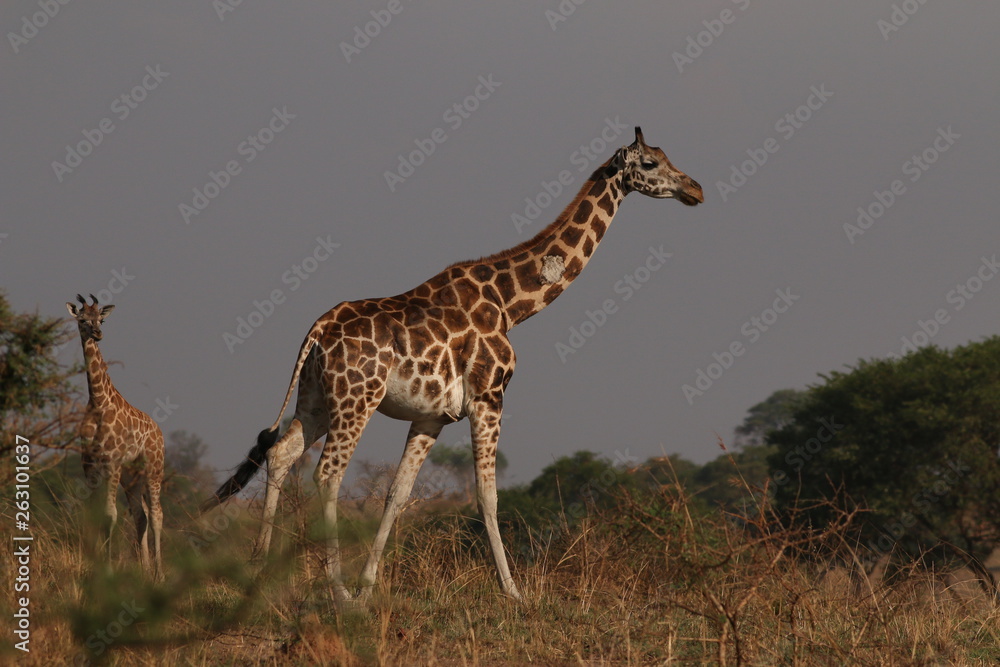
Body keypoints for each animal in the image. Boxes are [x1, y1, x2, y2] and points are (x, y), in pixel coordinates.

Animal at [66, 294, 164, 579]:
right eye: (83, 320)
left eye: (101, 319)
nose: (98, 334)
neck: (98, 402)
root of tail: (159, 432)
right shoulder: (89, 466)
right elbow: (97, 515)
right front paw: (95, 565)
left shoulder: (112, 462)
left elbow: (110, 514)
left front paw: (108, 568)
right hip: (132, 475)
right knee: (141, 515)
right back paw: (144, 570)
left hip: (153, 468)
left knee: (157, 514)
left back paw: (159, 573)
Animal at [202, 127, 703, 601]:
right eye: (651, 162)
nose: (695, 189)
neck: (510, 304)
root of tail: (318, 331)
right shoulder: (489, 397)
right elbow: (487, 496)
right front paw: (513, 592)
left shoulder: (432, 416)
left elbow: (398, 494)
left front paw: (369, 588)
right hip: (356, 399)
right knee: (328, 474)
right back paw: (334, 590)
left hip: (316, 399)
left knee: (281, 453)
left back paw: (259, 573)